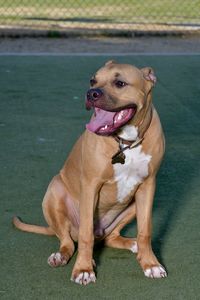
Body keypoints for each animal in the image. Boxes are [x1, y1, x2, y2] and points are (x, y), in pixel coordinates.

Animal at [13, 60, 167, 284]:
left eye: (120, 83)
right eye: (92, 80)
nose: (91, 93)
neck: (125, 142)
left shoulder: (148, 186)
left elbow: (145, 230)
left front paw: (150, 264)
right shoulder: (91, 185)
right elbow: (86, 235)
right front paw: (83, 269)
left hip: (132, 206)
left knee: (110, 238)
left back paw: (133, 244)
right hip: (54, 191)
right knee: (69, 241)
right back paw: (63, 256)